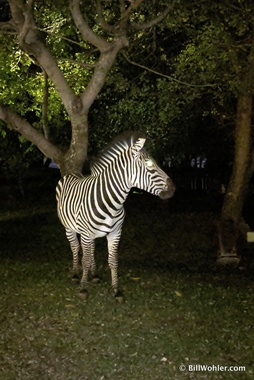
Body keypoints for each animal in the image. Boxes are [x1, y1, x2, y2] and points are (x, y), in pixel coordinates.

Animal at [55, 131, 175, 300]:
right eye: (150, 164)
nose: (173, 189)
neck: (111, 203)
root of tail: (72, 173)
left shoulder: (115, 233)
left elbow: (113, 261)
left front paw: (116, 290)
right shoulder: (86, 233)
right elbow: (85, 260)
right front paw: (83, 288)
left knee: (90, 249)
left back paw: (94, 274)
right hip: (70, 228)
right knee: (75, 247)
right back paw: (75, 274)